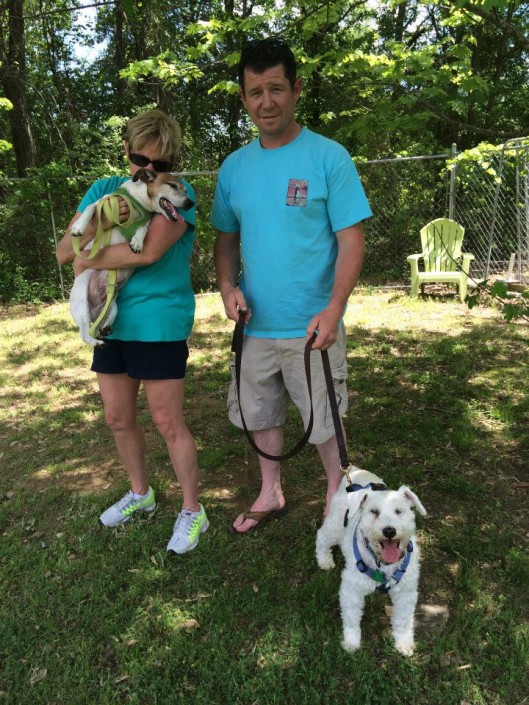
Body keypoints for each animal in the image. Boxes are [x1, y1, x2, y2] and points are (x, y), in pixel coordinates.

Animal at [316, 468, 426, 656]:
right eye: (374, 512)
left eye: (399, 511)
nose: (389, 531)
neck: (383, 564)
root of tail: (353, 470)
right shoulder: (351, 589)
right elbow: (351, 619)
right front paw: (351, 642)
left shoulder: (406, 593)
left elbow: (403, 620)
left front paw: (404, 643)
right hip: (335, 528)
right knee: (321, 536)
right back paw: (324, 560)